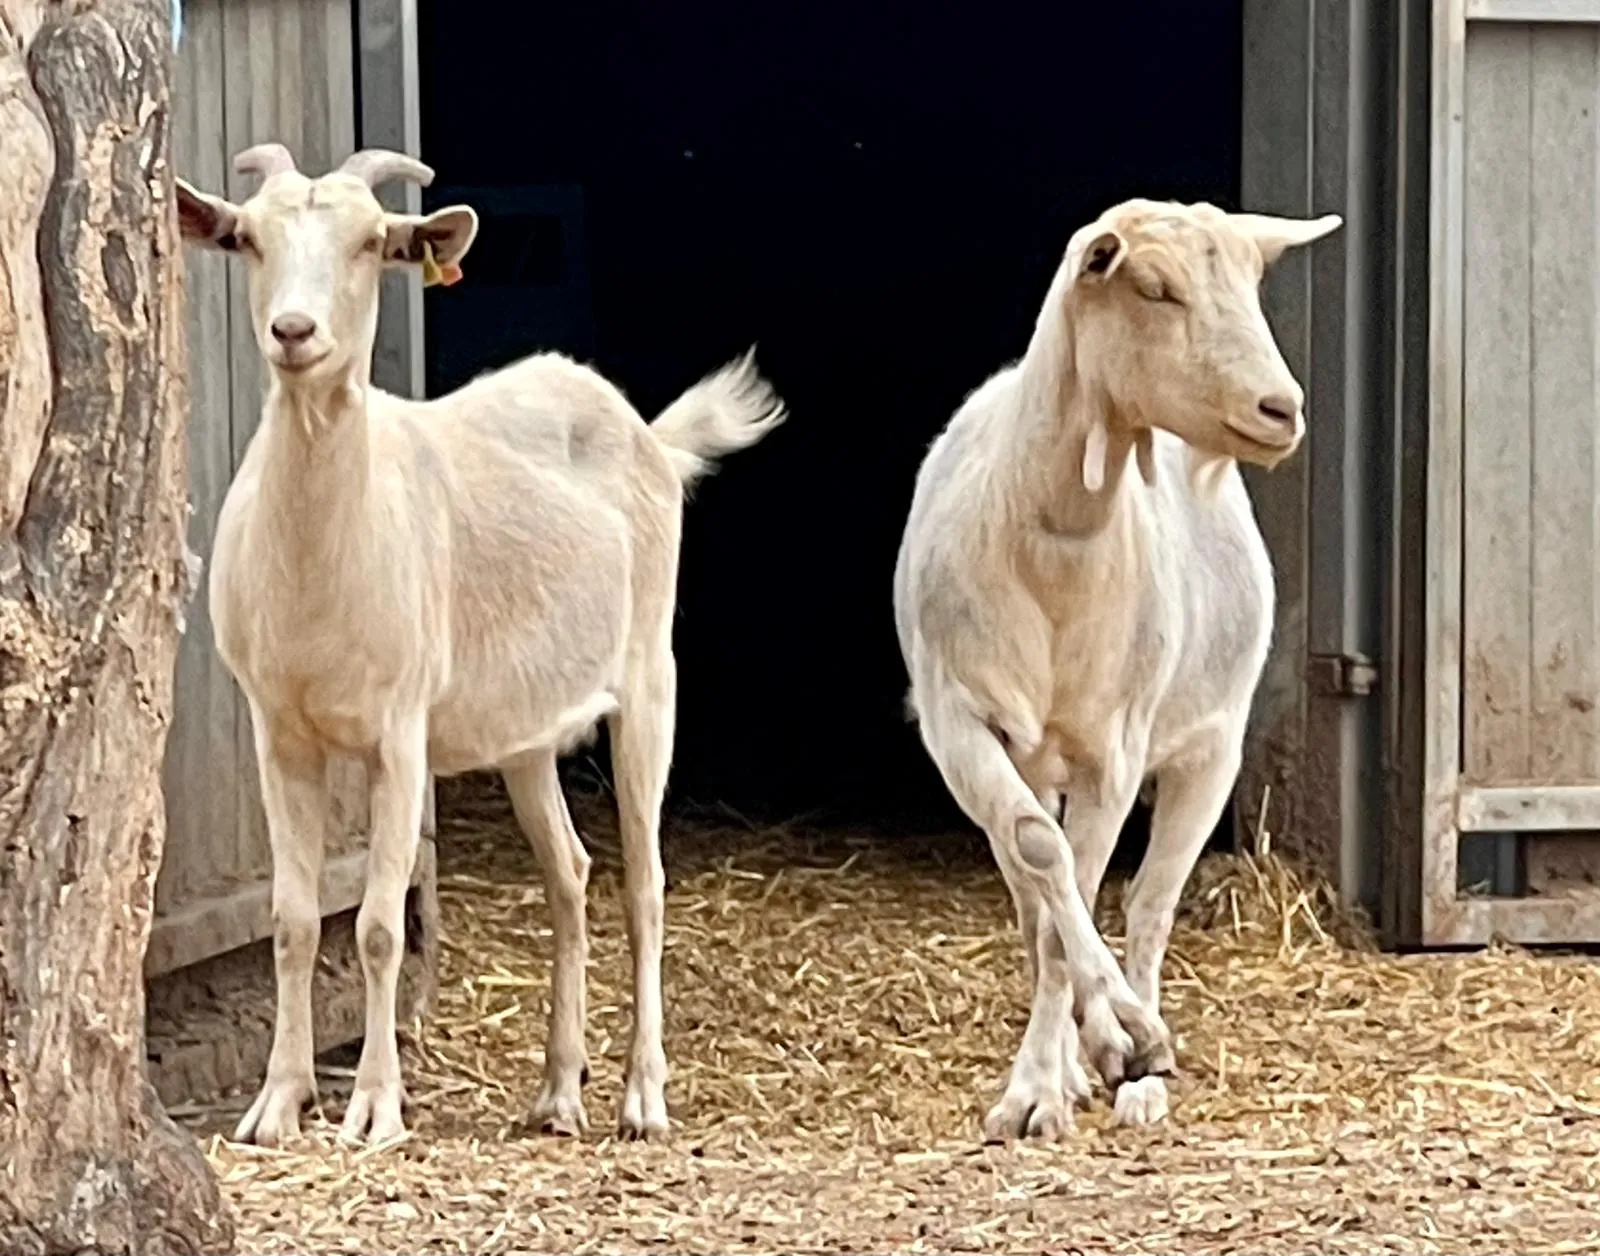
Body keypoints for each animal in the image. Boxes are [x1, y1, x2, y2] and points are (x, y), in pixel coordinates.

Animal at [174, 143, 785, 1147]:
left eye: (371, 243)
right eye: (249, 238)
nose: (293, 331)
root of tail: (648, 433)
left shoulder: (400, 730)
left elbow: (380, 924)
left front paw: (374, 1109)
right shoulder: (278, 727)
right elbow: (294, 919)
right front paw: (276, 1104)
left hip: (650, 675)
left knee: (645, 881)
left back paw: (641, 1097)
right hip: (527, 730)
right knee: (571, 873)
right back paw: (559, 1092)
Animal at [893, 198, 1341, 1137]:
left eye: (1253, 281)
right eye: (1155, 287)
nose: (1280, 408)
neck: (1051, 552)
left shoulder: (1115, 745)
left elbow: (1089, 887)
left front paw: (1104, 1048)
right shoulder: (959, 723)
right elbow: (1042, 862)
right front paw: (1050, 1077)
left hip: (1211, 750)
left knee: (1149, 902)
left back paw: (1139, 1071)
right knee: (1043, 885)